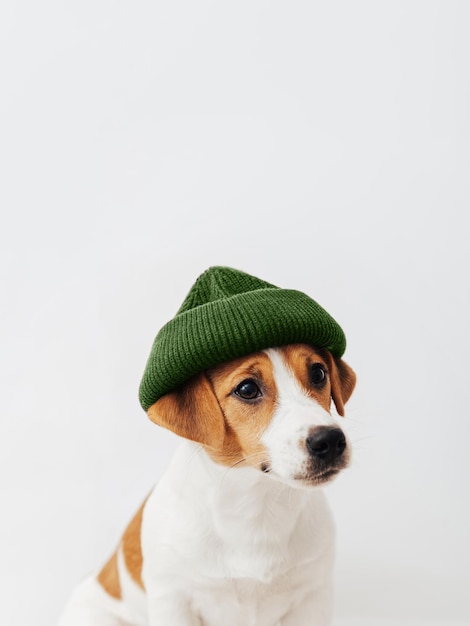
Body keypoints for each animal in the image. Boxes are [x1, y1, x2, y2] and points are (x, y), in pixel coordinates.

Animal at [58, 342, 354, 624]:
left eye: (318, 373)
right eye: (247, 389)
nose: (330, 441)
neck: (257, 506)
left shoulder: (313, 597)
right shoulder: (173, 600)